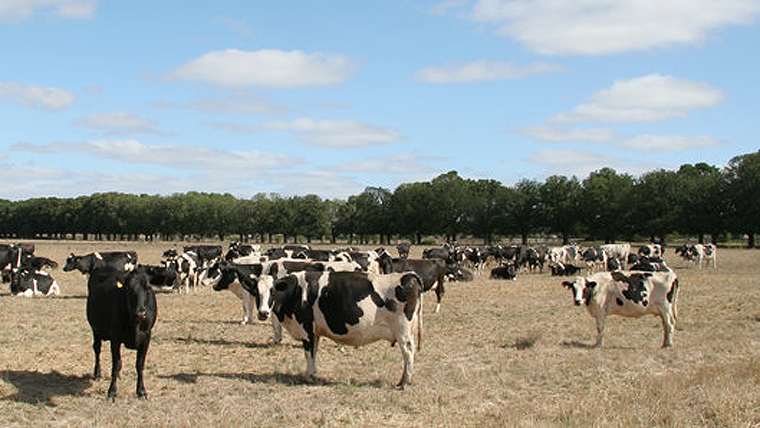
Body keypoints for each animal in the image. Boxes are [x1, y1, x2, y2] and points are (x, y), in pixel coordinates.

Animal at [85, 266, 157, 400]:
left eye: (148, 289)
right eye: (128, 288)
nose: (141, 313)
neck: (135, 325)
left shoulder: (146, 338)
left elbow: (140, 365)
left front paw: (141, 391)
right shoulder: (115, 338)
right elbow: (116, 364)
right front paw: (112, 391)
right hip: (95, 329)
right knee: (97, 349)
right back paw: (97, 373)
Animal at [252, 272, 424, 390]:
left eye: (273, 291)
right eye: (256, 292)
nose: (263, 313)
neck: (297, 292)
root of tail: (408, 276)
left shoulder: (306, 330)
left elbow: (308, 354)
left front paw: (308, 376)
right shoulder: (315, 332)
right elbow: (314, 352)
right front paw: (313, 373)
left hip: (403, 332)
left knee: (408, 353)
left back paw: (404, 382)